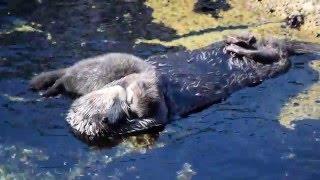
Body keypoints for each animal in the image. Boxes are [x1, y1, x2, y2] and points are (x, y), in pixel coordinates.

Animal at [30, 34, 320, 141]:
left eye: (113, 100)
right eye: (117, 106)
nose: (127, 97)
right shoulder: (152, 119)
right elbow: (157, 113)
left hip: (269, 54)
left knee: (266, 47)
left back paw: (238, 41)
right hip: (276, 64)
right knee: (276, 55)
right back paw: (240, 46)